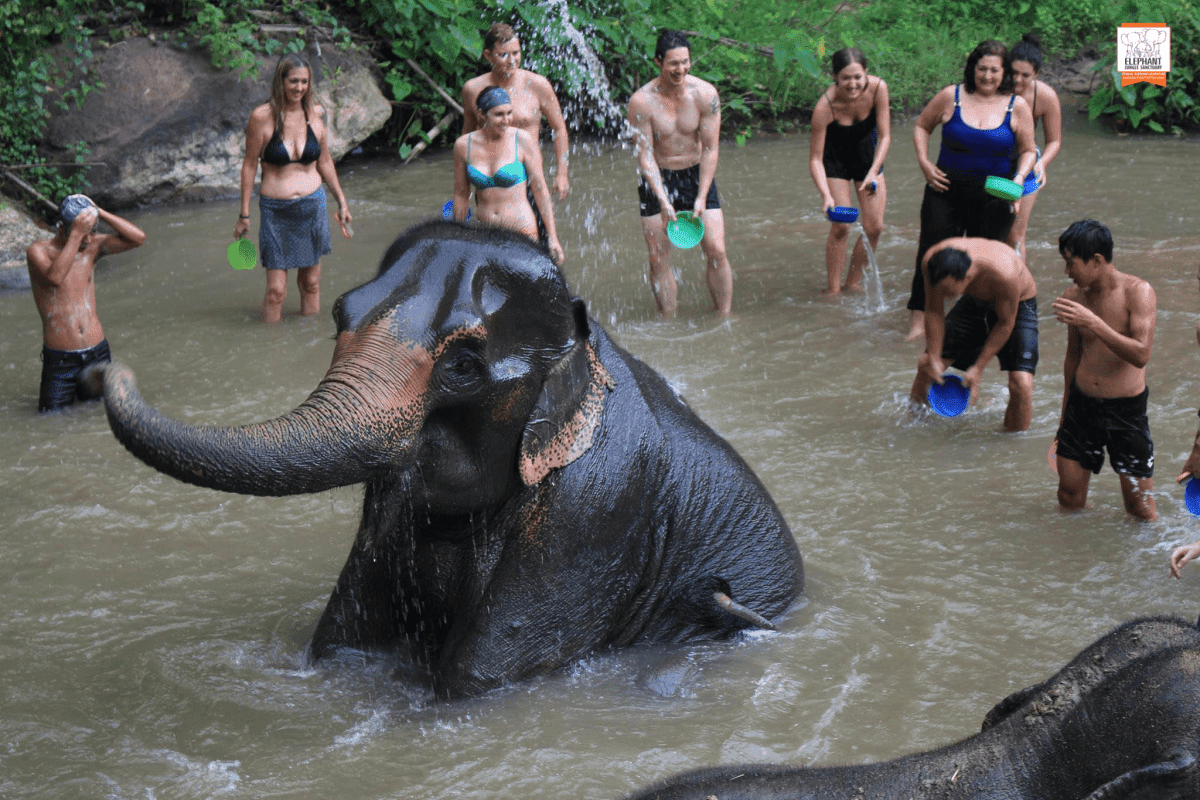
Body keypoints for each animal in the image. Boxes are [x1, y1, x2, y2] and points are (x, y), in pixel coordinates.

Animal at [89, 220, 804, 699]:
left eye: (463, 365)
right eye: (341, 314)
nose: (109, 370)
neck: (586, 337)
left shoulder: (598, 508)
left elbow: (476, 677)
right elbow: (339, 636)